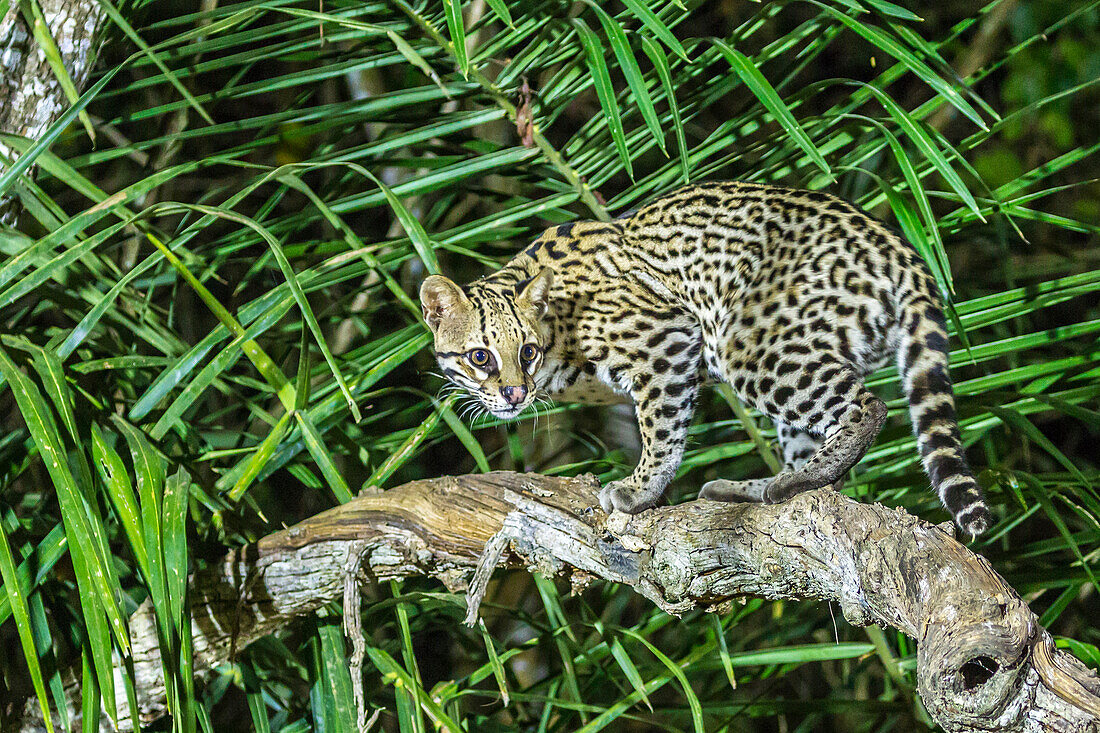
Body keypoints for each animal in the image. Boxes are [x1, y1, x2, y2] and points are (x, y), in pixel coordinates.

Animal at [420, 181, 998, 537]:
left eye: (526, 351)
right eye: (480, 357)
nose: (514, 394)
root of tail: (900, 250)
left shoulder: (665, 337)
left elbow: (661, 430)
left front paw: (639, 491)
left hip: (750, 344)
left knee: (868, 407)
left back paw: (799, 480)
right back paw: (759, 489)